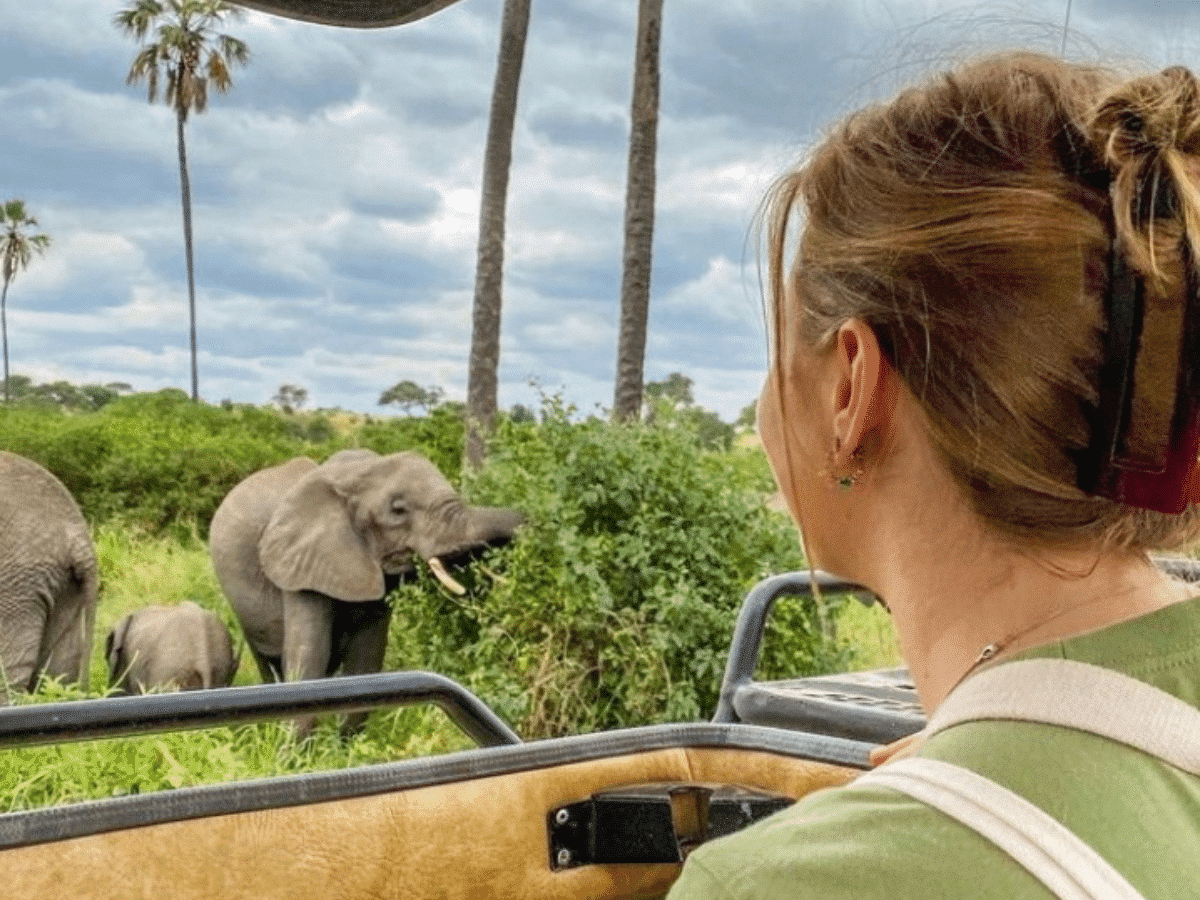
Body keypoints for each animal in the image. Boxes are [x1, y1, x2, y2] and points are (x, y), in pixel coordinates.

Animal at [208, 449, 522, 725]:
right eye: (398, 510)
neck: (355, 473)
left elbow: (366, 659)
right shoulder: (299, 562)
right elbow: (310, 656)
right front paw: (294, 754)